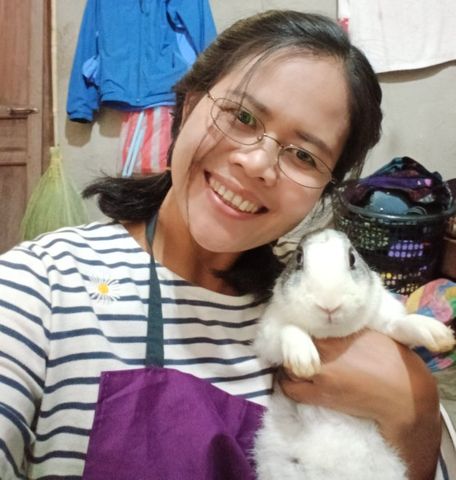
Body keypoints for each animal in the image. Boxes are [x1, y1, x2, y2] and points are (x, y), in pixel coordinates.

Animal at [253, 228, 455, 480]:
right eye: (299, 258)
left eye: (352, 258)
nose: (329, 305)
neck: (332, 333)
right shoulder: (269, 334)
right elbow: (289, 329)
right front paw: (305, 361)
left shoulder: (386, 318)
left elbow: (400, 324)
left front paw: (438, 334)